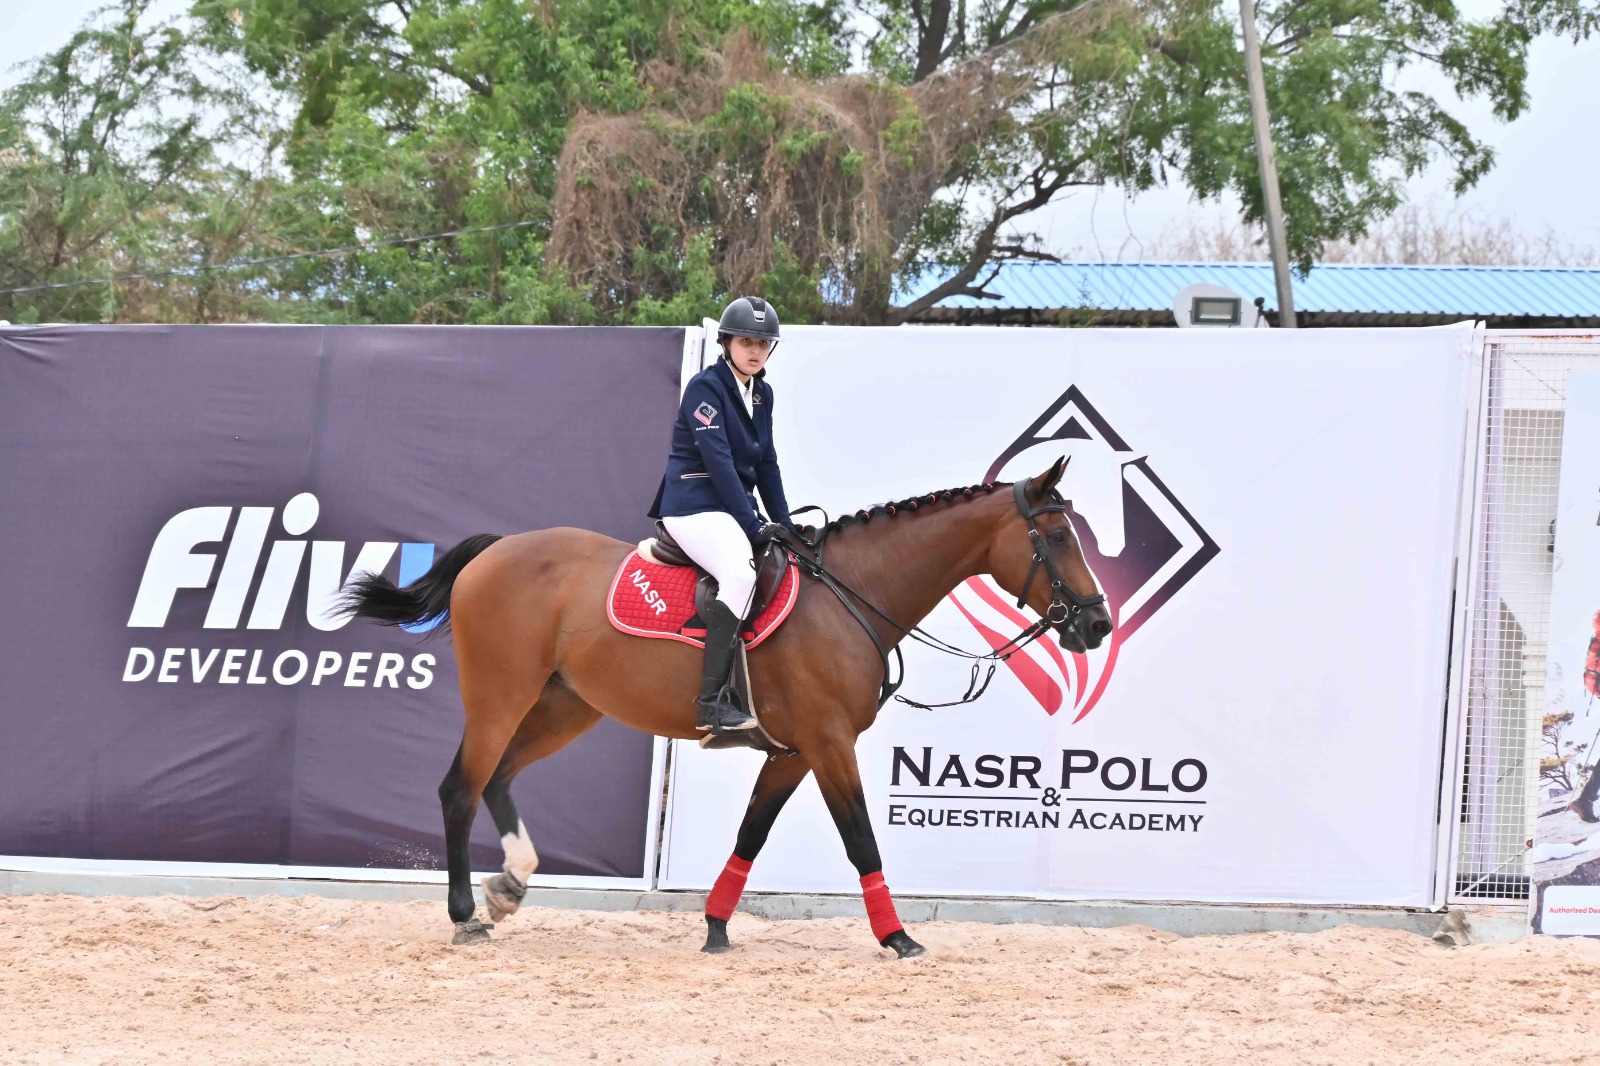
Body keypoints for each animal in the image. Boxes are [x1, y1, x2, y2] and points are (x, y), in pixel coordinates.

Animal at [338, 458, 1113, 956]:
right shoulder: (830, 744)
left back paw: (509, 886)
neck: (853, 593)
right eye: (1057, 537)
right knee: (461, 788)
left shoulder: (796, 752)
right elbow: (861, 837)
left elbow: (751, 834)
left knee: (498, 779)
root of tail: (491, 554)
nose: (1098, 624)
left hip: (566, 707)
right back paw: (467, 915)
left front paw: (714, 927)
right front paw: (897, 937)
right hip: (501, 695)